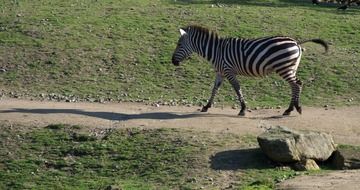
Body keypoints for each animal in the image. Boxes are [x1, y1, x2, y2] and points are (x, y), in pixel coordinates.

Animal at [172, 24, 330, 116]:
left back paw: (294, 109)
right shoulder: (220, 72)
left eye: (179, 44)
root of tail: (296, 42)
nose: (173, 62)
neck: (217, 51)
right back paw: (290, 109)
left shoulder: (228, 70)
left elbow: (237, 88)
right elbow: (214, 88)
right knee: (295, 85)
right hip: (291, 68)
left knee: (297, 84)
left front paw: (242, 109)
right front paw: (206, 106)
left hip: (284, 67)